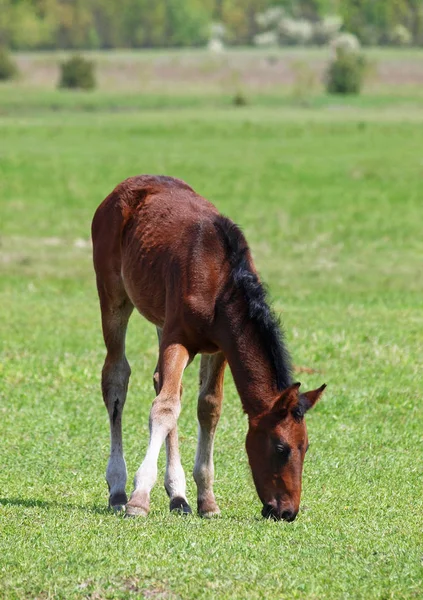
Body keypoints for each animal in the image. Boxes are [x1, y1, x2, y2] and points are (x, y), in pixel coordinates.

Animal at [92, 173, 324, 520]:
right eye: (281, 447)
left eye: (305, 446)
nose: (287, 511)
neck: (220, 284)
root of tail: (125, 186)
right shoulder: (178, 339)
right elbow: (164, 408)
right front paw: (139, 497)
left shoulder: (219, 349)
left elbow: (208, 407)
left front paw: (206, 499)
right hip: (114, 297)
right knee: (117, 378)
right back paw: (118, 489)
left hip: (161, 320)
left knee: (163, 382)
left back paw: (178, 496)